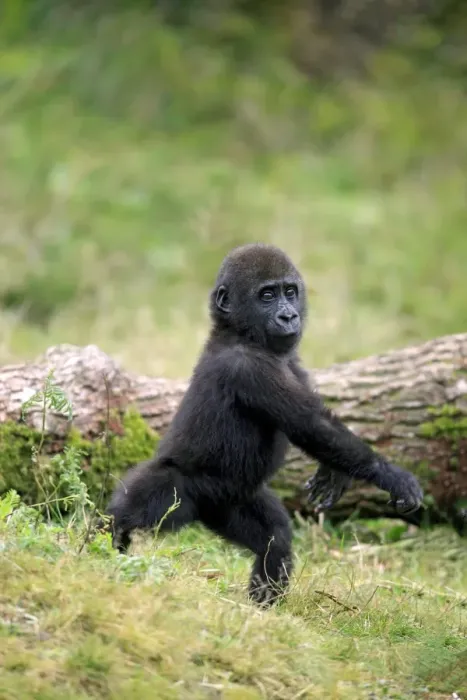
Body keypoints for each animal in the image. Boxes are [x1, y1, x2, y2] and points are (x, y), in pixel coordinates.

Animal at [103, 243, 423, 606]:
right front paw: (390, 474)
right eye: (267, 296)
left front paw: (335, 474)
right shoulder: (248, 368)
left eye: (290, 292)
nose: (289, 316)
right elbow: (310, 424)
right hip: (177, 484)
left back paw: (262, 606)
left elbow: (319, 428)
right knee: (131, 510)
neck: (239, 332)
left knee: (274, 538)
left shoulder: (291, 359)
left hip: (227, 503)